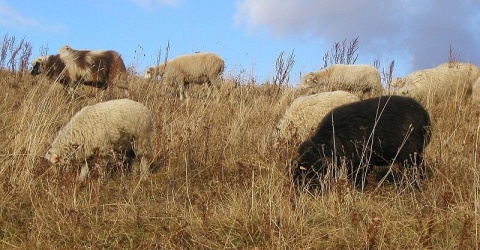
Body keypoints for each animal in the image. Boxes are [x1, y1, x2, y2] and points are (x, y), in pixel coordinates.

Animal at [294, 95, 434, 189]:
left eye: (310, 170)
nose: (298, 188)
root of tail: (425, 116)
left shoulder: (361, 162)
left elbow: (359, 180)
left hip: (410, 154)